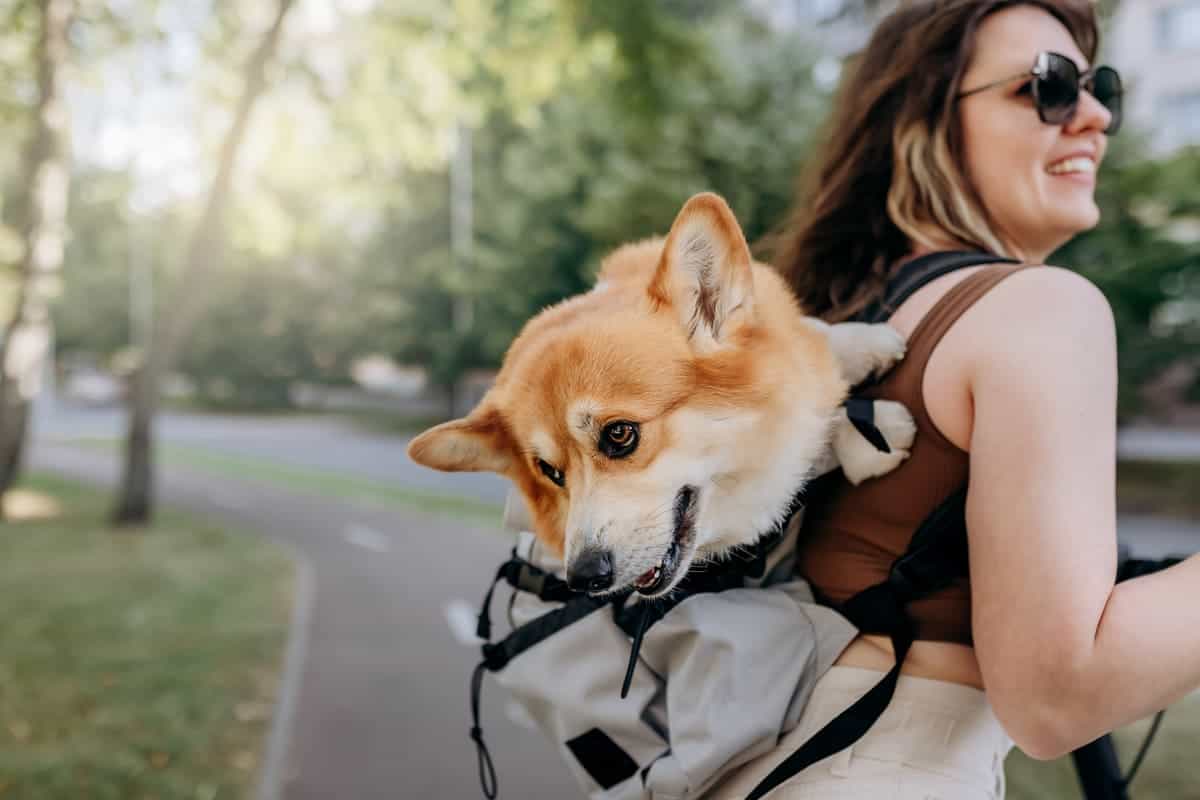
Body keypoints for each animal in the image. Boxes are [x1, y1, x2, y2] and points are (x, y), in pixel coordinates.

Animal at [408, 190, 912, 597]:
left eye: (619, 435)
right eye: (551, 473)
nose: (585, 578)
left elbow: (813, 342)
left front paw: (864, 343)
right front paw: (873, 435)